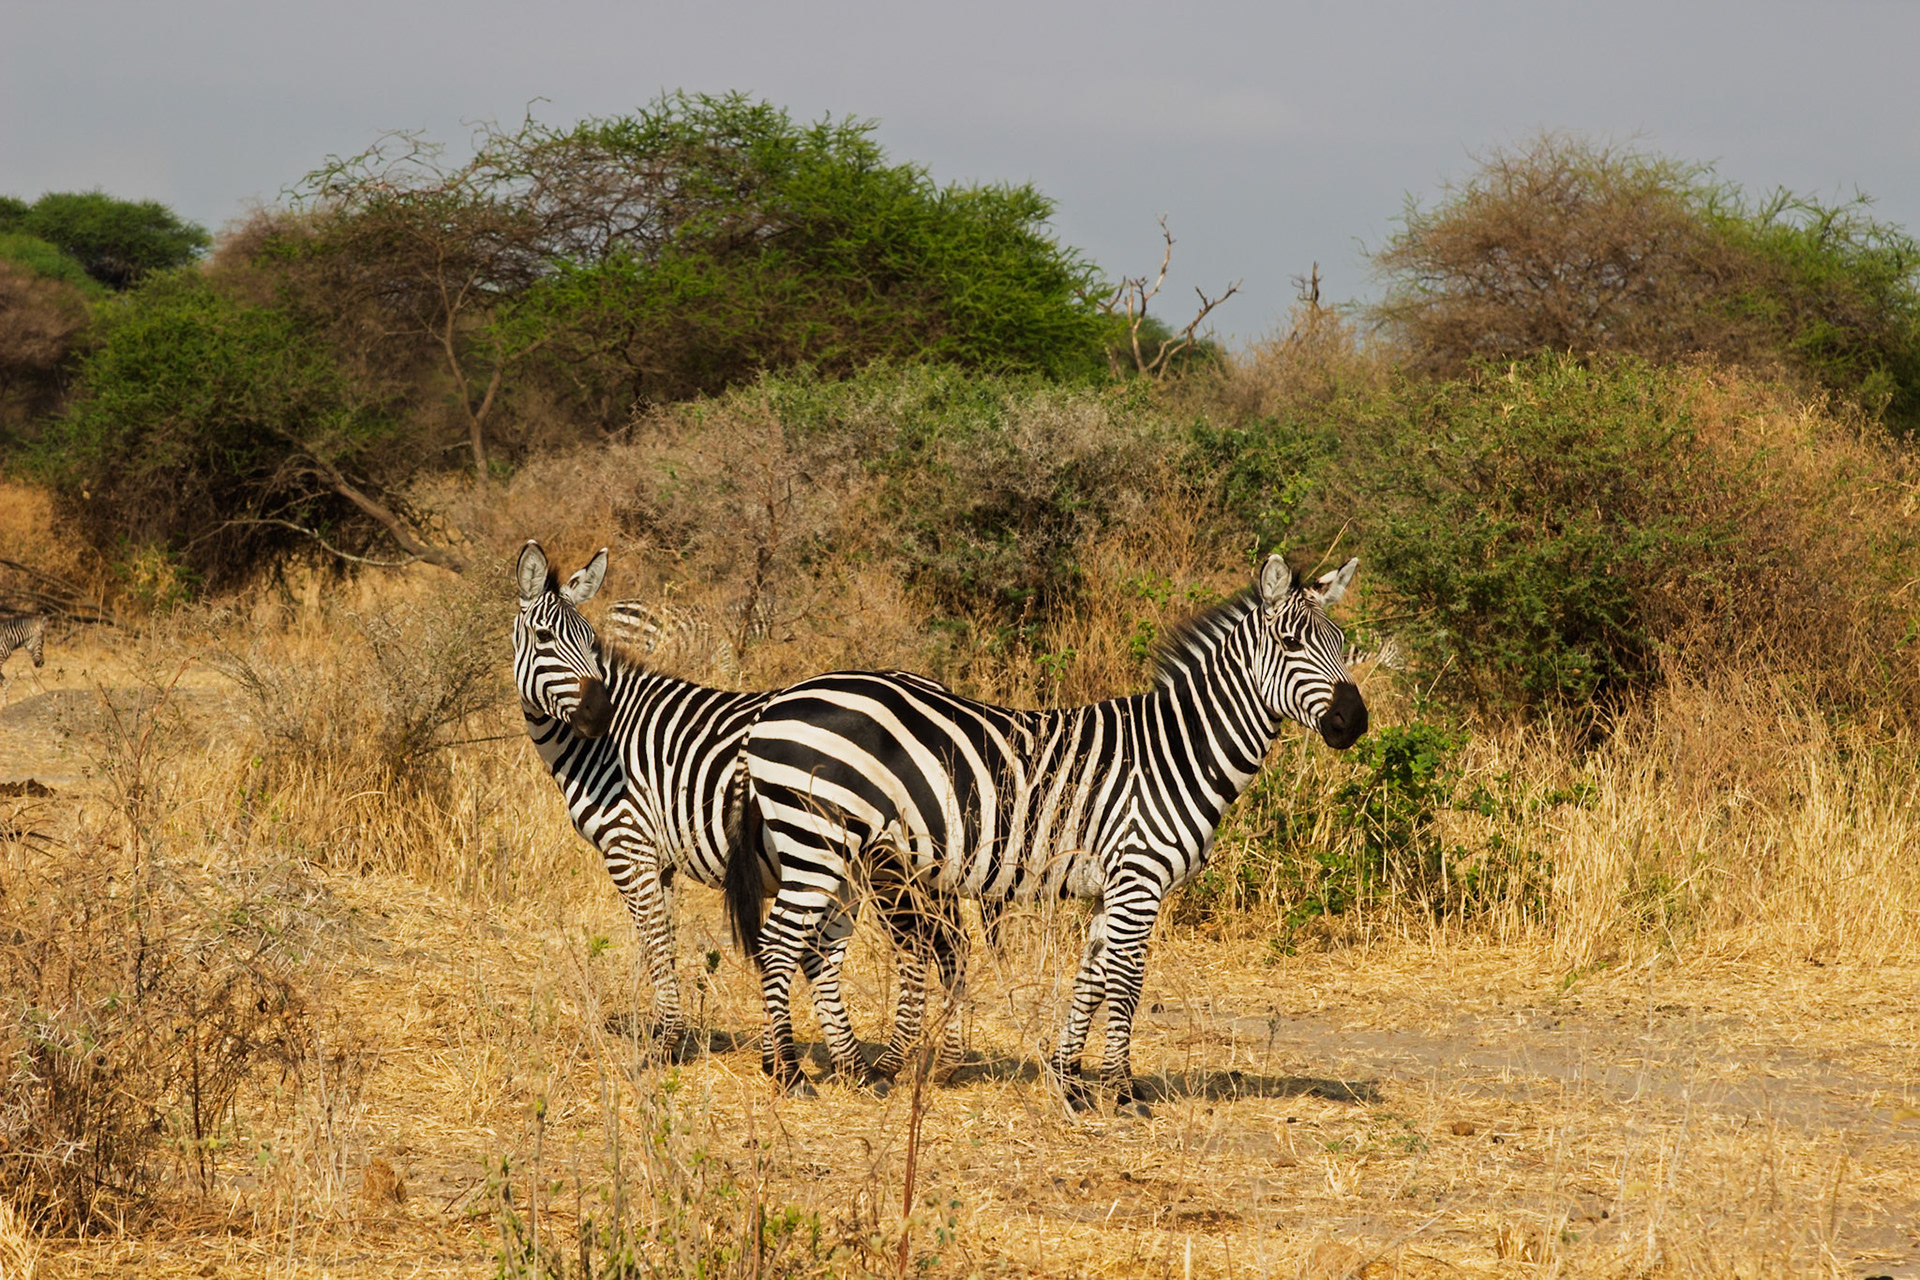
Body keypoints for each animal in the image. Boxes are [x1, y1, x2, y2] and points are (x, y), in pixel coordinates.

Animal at [513, 542, 955, 1081]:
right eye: (543, 638)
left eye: (592, 644)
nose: (600, 715)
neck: (604, 750)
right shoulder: (659, 858)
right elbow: (665, 941)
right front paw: (674, 1034)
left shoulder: (628, 845)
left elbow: (654, 941)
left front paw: (666, 1044)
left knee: (921, 948)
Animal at [727, 554, 1368, 1111]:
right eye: (1291, 645)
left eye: (1341, 645)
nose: (1354, 723)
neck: (1175, 753)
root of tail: (773, 705)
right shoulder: (1139, 879)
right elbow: (1126, 983)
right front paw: (1123, 1093)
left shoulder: (1113, 887)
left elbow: (1091, 979)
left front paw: (1070, 1081)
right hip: (817, 838)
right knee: (778, 945)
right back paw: (791, 1077)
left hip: (844, 855)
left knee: (813, 950)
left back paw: (844, 1069)